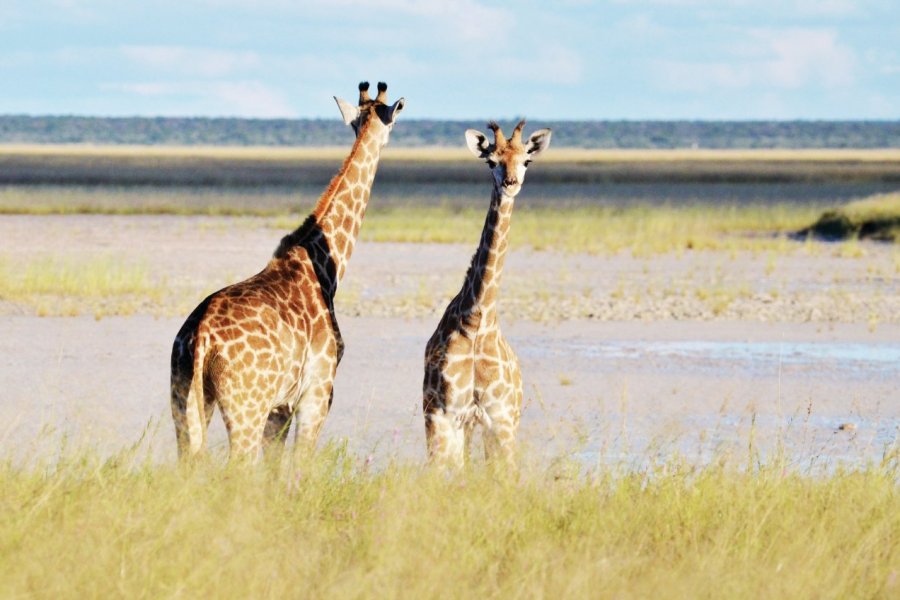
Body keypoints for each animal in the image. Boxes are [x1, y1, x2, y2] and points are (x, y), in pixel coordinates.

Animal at [170, 82, 408, 462]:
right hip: (245, 407)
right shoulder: (318, 393)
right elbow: (300, 465)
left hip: (186, 400)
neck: (324, 267)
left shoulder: (279, 407)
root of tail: (202, 337)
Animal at [422, 119, 548, 472]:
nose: (510, 183)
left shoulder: (499, 420)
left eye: (526, 160)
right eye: (491, 161)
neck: (477, 318)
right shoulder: (443, 414)